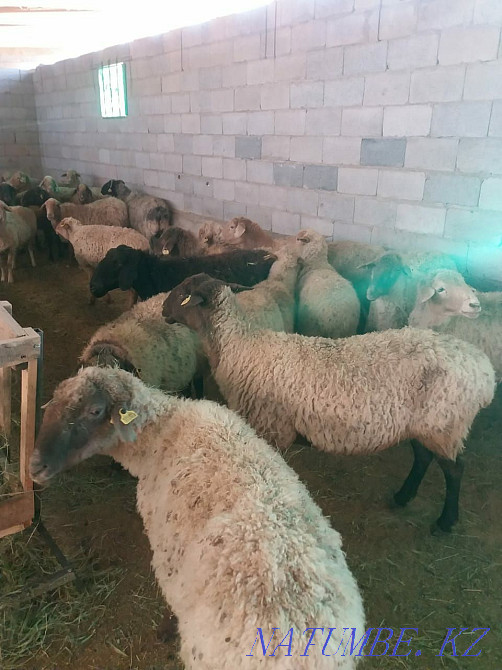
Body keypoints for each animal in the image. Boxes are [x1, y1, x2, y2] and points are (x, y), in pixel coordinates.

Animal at [162, 273, 495, 532]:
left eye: (182, 293)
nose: (163, 309)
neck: (238, 346)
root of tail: (483, 371)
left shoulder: (270, 426)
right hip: (427, 424)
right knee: (424, 457)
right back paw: (402, 497)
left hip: (445, 422)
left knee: (455, 470)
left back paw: (445, 522)